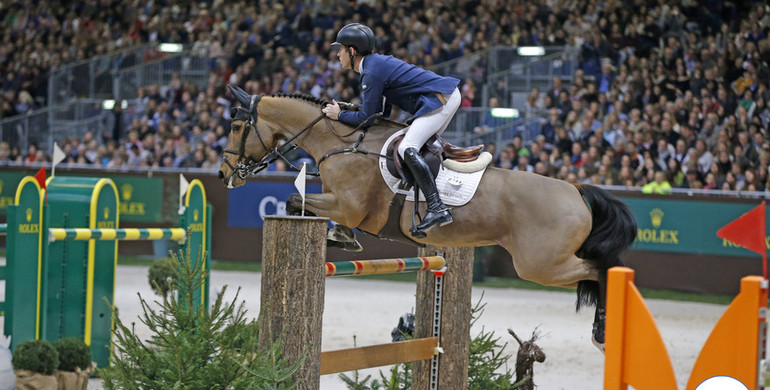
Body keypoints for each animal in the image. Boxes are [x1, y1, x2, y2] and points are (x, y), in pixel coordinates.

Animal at [218, 84, 636, 348]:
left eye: (237, 126)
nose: (223, 174)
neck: (342, 144)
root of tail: (576, 191)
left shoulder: (349, 205)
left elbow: (294, 200)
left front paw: (337, 235)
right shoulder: (344, 205)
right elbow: (303, 204)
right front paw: (341, 236)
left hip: (540, 264)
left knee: (600, 269)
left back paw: (602, 332)